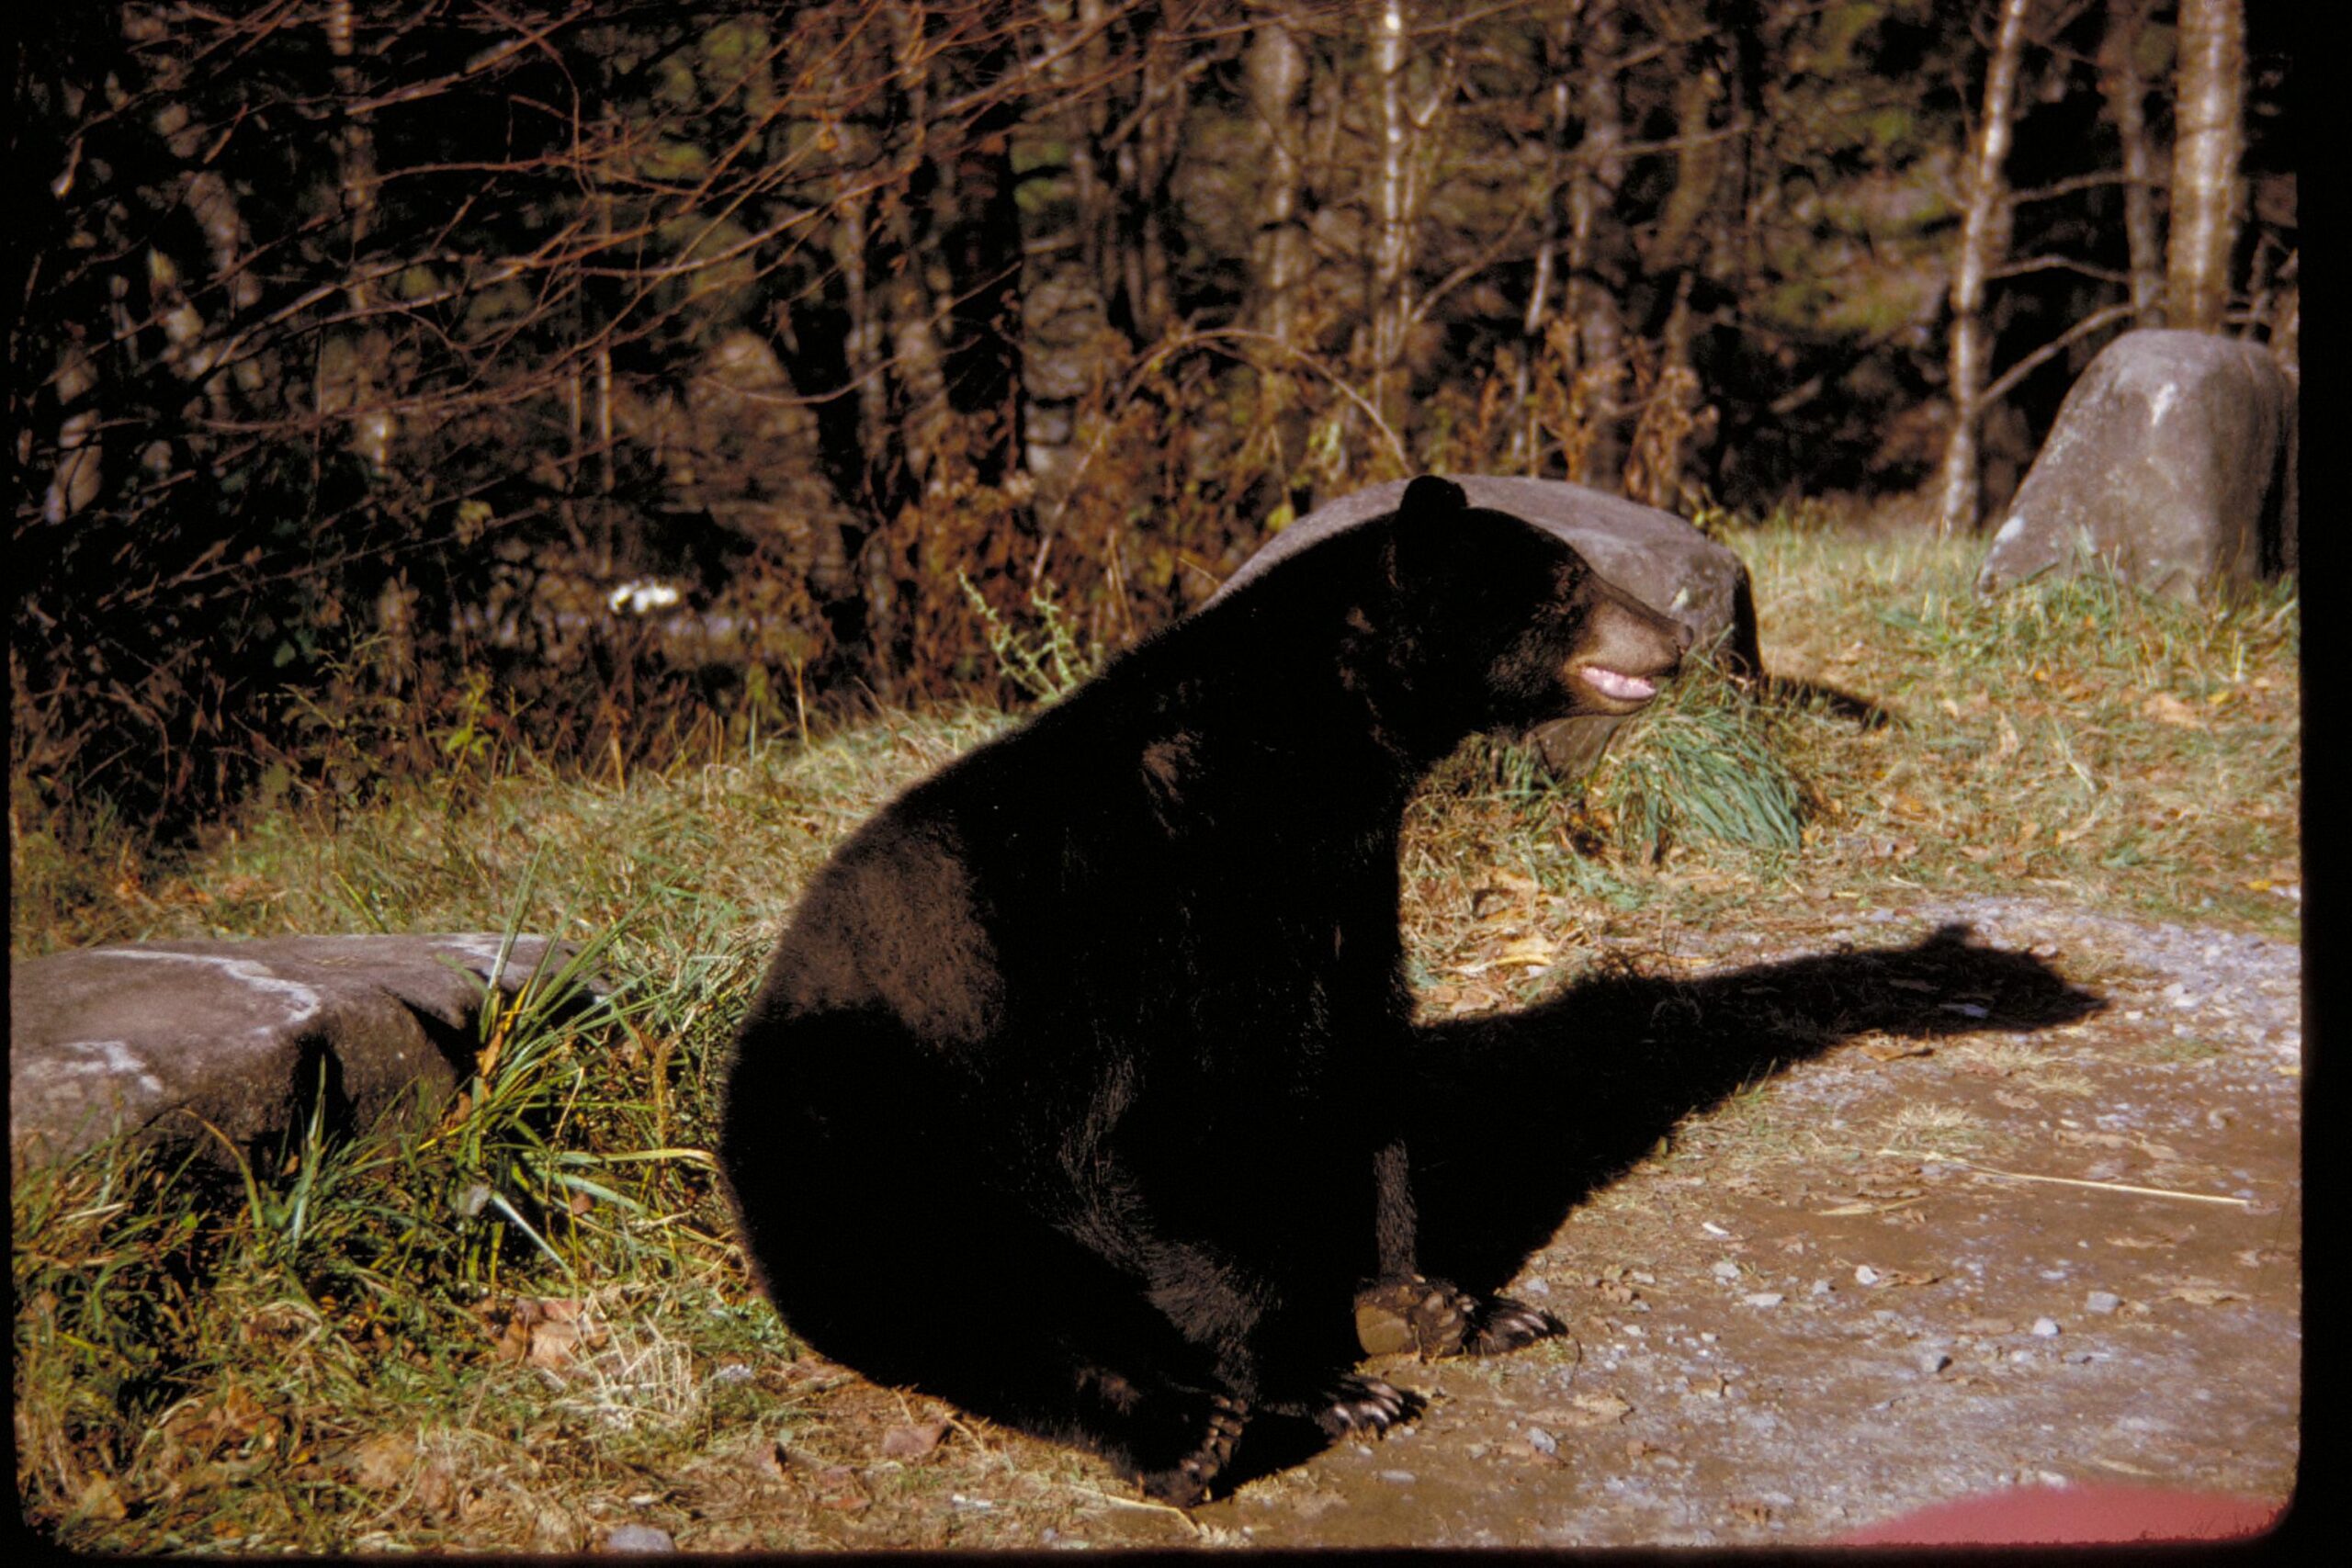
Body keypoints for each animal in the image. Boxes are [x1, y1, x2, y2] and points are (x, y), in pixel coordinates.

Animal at [719, 475, 1690, 1504]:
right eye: (1568, 583)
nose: (1674, 636)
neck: (1298, 758)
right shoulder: (1155, 907)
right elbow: (1178, 1125)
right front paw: (1321, 1381)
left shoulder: (1344, 887)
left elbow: (1357, 1070)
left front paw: (1436, 1296)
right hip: (875, 1146)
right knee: (969, 1303)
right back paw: (1184, 1433)